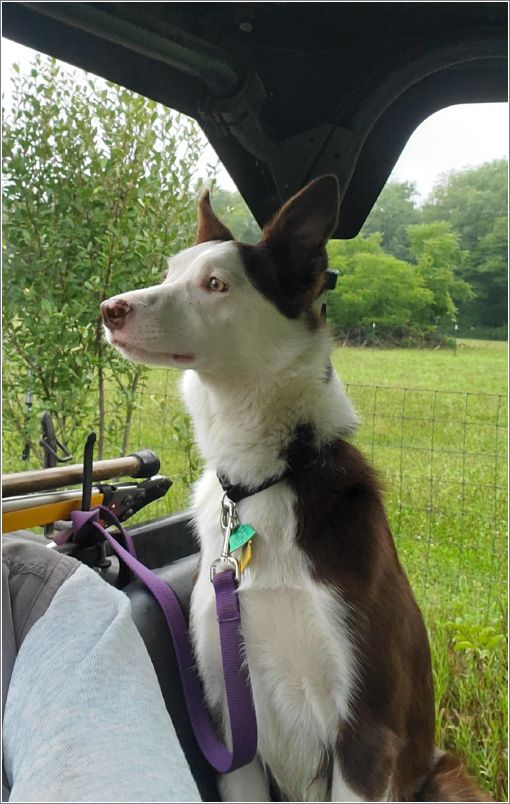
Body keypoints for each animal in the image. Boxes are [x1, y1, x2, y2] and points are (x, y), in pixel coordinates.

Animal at [101, 177, 488, 804]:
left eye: (217, 284)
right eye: (170, 271)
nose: (109, 310)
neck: (263, 478)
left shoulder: (364, 732)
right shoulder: (231, 725)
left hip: (442, 779)